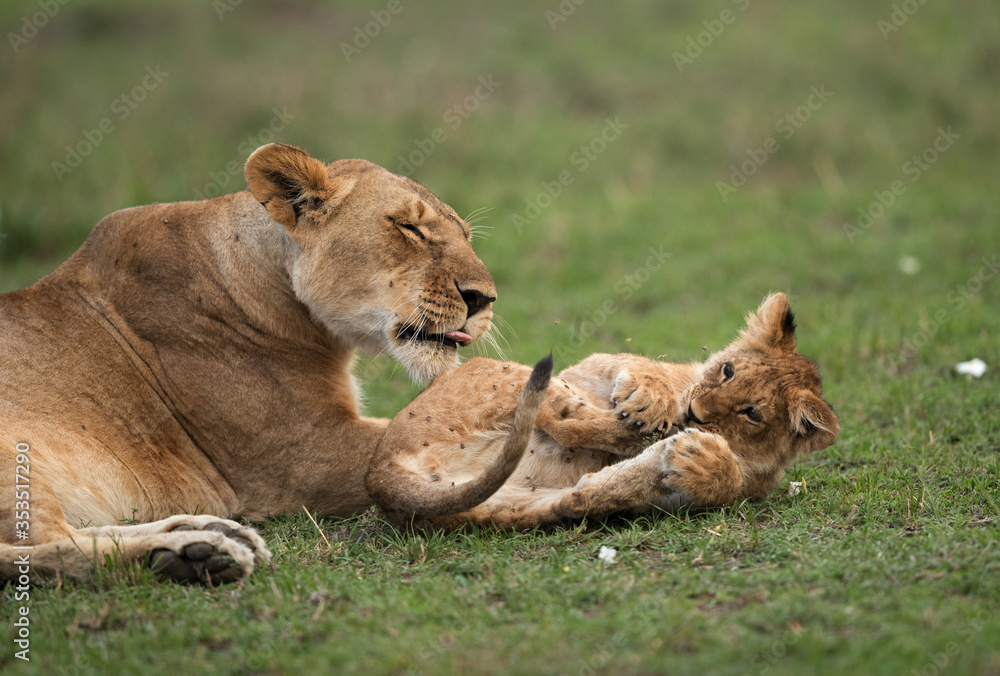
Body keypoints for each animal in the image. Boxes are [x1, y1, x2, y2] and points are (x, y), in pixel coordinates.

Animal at [0, 143, 502, 584]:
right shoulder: (304, 457)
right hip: (15, 456)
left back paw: (201, 532)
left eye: (466, 237)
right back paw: (189, 554)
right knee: (39, 548)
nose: (484, 299)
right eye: (409, 228)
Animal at [366, 293, 840, 530]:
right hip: (498, 373)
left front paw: (705, 461)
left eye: (752, 413)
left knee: (582, 489)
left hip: (521, 503)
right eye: (728, 371)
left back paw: (663, 447)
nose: (697, 412)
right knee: (566, 419)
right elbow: (635, 366)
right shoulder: (592, 365)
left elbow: (729, 485)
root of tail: (380, 476)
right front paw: (653, 398)